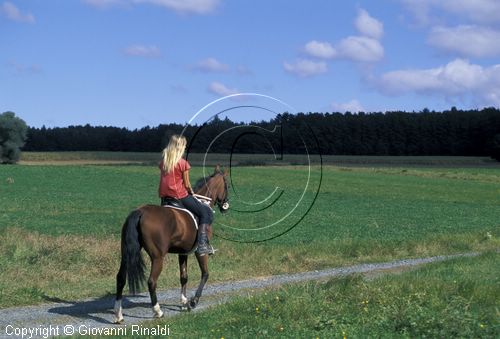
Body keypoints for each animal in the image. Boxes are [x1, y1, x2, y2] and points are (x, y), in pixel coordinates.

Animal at [113, 167, 229, 324]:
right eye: (227, 186)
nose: (225, 205)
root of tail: (139, 212)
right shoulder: (200, 251)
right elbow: (205, 274)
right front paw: (193, 302)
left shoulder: (183, 252)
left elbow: (184, 276)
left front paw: (184, 302)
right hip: (157, 257)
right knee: (151, 281)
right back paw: (158, 311)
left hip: (126, 253)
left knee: (120, 278)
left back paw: (118, 314)